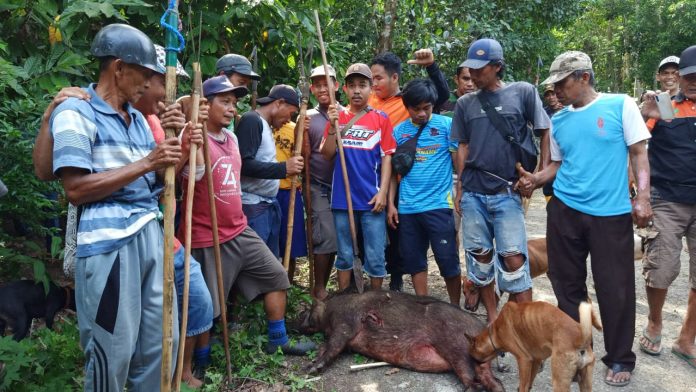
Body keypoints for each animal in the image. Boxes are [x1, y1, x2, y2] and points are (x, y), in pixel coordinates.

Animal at [470, 302, 600, 390]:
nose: (475, 377)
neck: (495, 331)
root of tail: (580, 338)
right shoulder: (536, 361)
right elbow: (530, 381)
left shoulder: (524, 360)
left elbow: (523, 385)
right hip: (585, 382)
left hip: (559, 381)